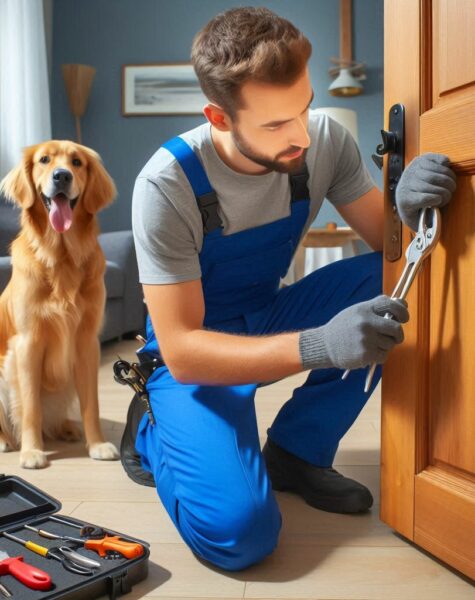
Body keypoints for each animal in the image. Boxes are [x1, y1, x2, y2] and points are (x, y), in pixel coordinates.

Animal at [0, 141, 121, 468]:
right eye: (44, 159)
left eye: (77, 162)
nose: (62, 176)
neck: (61, 256)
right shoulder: (27, 343)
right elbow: (30, 407)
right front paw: (32, 451)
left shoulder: (87, 342)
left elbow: (91, 403)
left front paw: (97, 444)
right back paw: (5, 441)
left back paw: (66, 428)